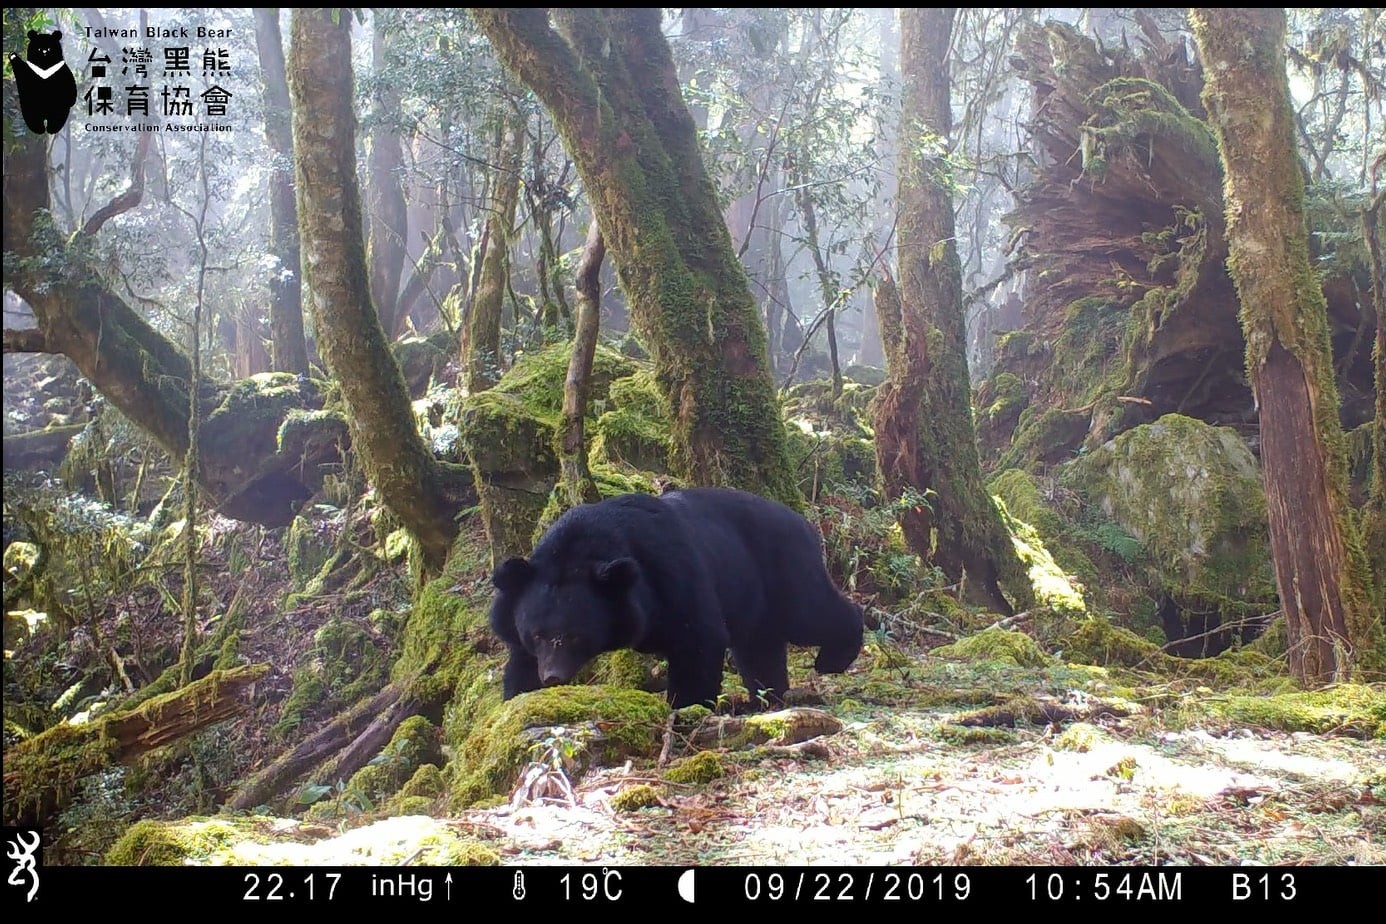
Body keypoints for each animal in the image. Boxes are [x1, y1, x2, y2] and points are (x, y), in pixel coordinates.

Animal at [488, 487, 864, 709]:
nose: (553, 676)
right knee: (759, 646)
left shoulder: (669, 573)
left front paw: (685, 707)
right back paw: (768, 695)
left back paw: (833, 657)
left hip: (782, 568)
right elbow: (519, 663)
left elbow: (698, 637)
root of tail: (803, 521)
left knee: (811, 614)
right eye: (537, 635)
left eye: (576, 636)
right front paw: (519, 697)